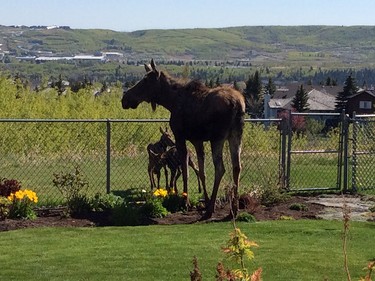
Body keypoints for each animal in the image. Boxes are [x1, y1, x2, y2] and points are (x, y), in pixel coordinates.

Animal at [122, 58, 247, 217]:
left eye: (145, 81)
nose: (124, 99)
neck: (170, 101)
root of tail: (238, 105)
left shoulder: (180, 136)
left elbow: (186, 172)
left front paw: (186, 202)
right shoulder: (197, 140)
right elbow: (201, 172)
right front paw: (204, 201)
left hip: (217, 138)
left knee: (220, 168)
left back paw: (212, 209)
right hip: (236, 135)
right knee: (237, 166)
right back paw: (234, 210)